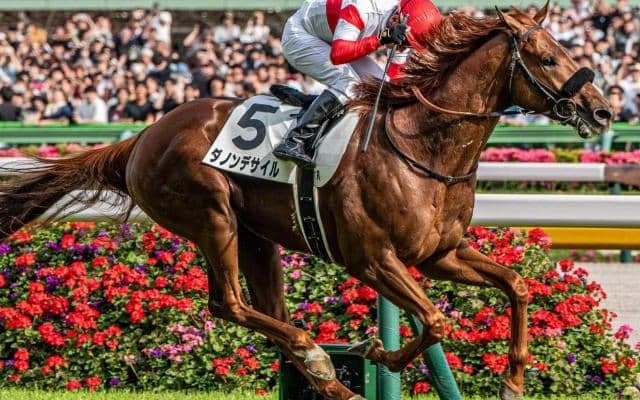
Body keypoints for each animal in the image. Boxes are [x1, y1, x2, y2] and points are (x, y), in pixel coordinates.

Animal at [0, 5, 611, 400]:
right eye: (548, 59)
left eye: (565, 50)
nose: (602, 110)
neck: (423, 145)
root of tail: (143, 136)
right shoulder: (372, 259)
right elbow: (436, 320)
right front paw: (376, 353)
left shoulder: (440, 254)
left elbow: (518, 286)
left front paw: (512, 380)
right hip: (211, 216)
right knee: (228, 305)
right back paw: (321, 361)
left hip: (255, 237)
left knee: (269, 310)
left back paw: (328, 379)